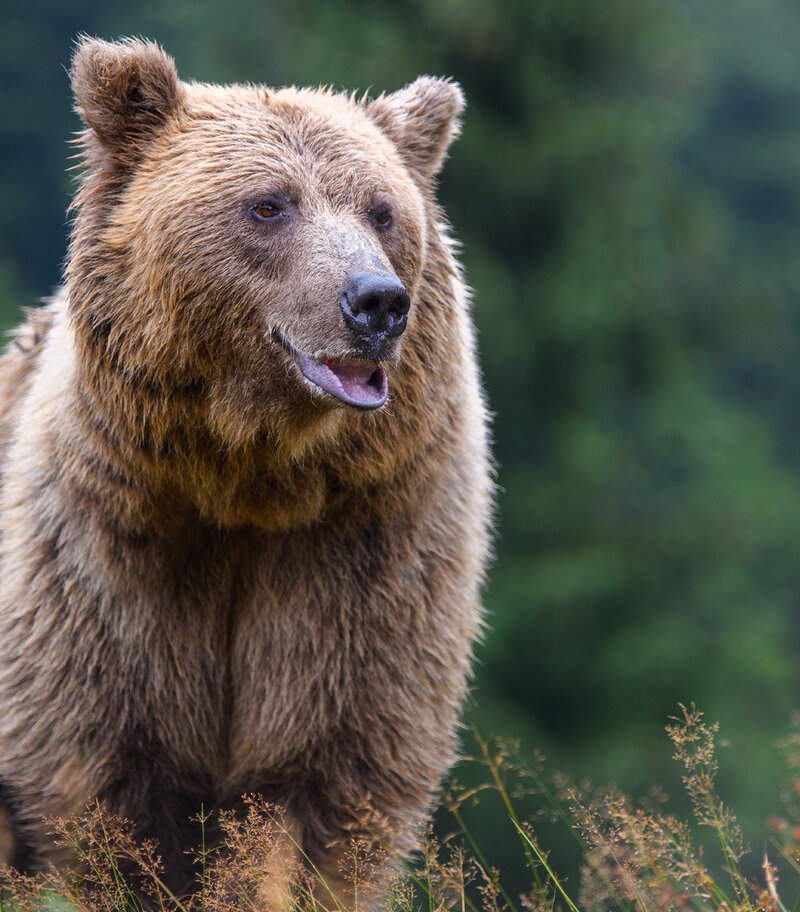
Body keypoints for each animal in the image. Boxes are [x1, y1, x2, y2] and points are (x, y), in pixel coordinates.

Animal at [0, 37, 490, 904]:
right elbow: (112, 801)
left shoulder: (358, 570)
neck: (246, 482)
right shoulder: (104, 579)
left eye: (381, 210)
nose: (376, 302)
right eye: (269, 205)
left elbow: (315, 790)